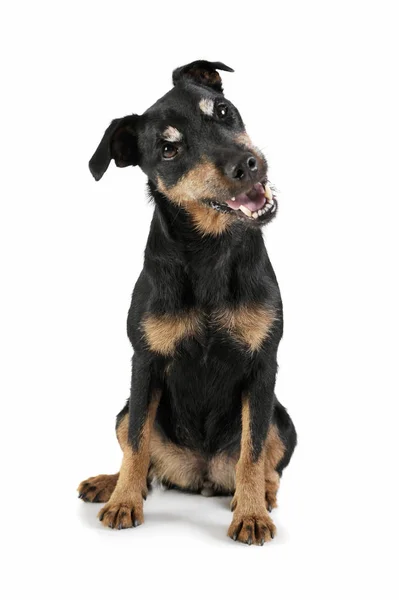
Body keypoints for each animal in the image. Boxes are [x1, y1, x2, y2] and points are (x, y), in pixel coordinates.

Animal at [78, 59, 296, 544]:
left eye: (223, 111)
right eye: (168, 150)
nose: (246, 164)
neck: (209, 250)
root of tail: (200, 475)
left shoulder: (262, 365)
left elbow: (253, 452)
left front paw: (251, 514)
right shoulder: (145, 362)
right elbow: (137, 443)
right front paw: (124, 502)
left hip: (283, 419)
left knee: (269, 461)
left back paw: (263, 494)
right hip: (125, 408)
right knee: (140, 453)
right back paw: (111, 484)